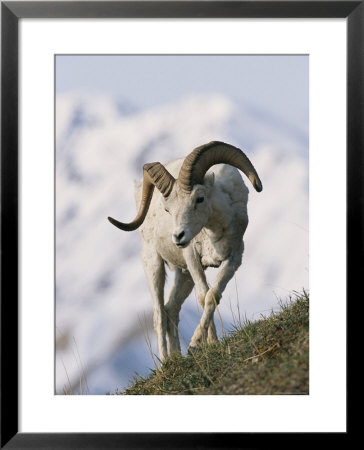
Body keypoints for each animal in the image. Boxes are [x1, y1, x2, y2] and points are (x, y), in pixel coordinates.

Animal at [108, 142, 262, 362]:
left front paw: (205, 344)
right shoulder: (193, 258)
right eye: (167, 209)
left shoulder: (233, 258)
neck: (215, 232)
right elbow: (203, 296)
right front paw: (201, 344)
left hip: (183, 275)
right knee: (158, 314)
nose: (178, 237)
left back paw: (176, 357)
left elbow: (212, 296)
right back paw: (165, 362)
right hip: (153, 264)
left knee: (171, 309)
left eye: (199, 199)